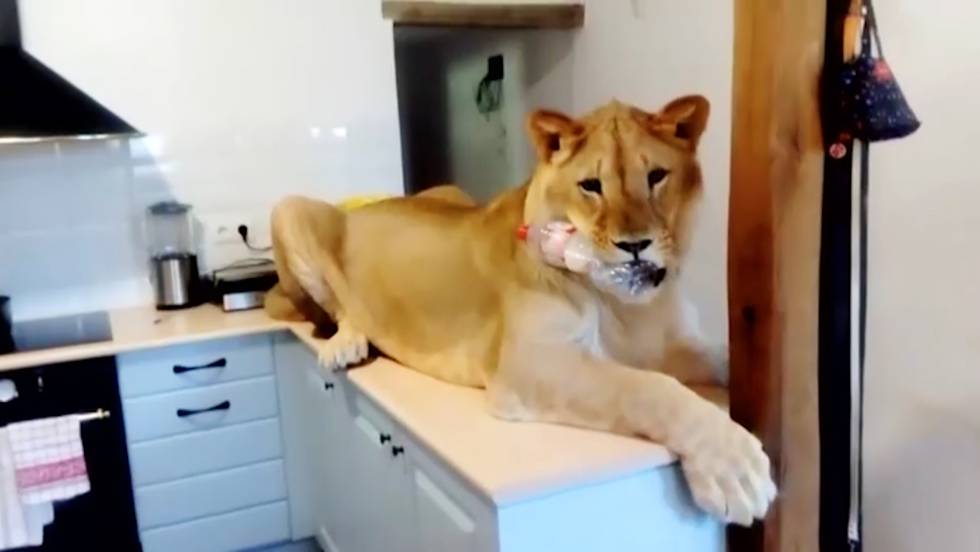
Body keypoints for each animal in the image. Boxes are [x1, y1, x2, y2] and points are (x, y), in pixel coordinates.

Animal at [265, 96, 776, 526]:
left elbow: (719, 359)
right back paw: (345, 345)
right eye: (591, 186)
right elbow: (649, 389)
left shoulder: (668, 347)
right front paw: (736, 469)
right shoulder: (529, 364)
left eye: (656, 177)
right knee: (334, 309)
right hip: (291, 208)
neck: (625, 305)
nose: (635, 246)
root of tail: (365, 204)